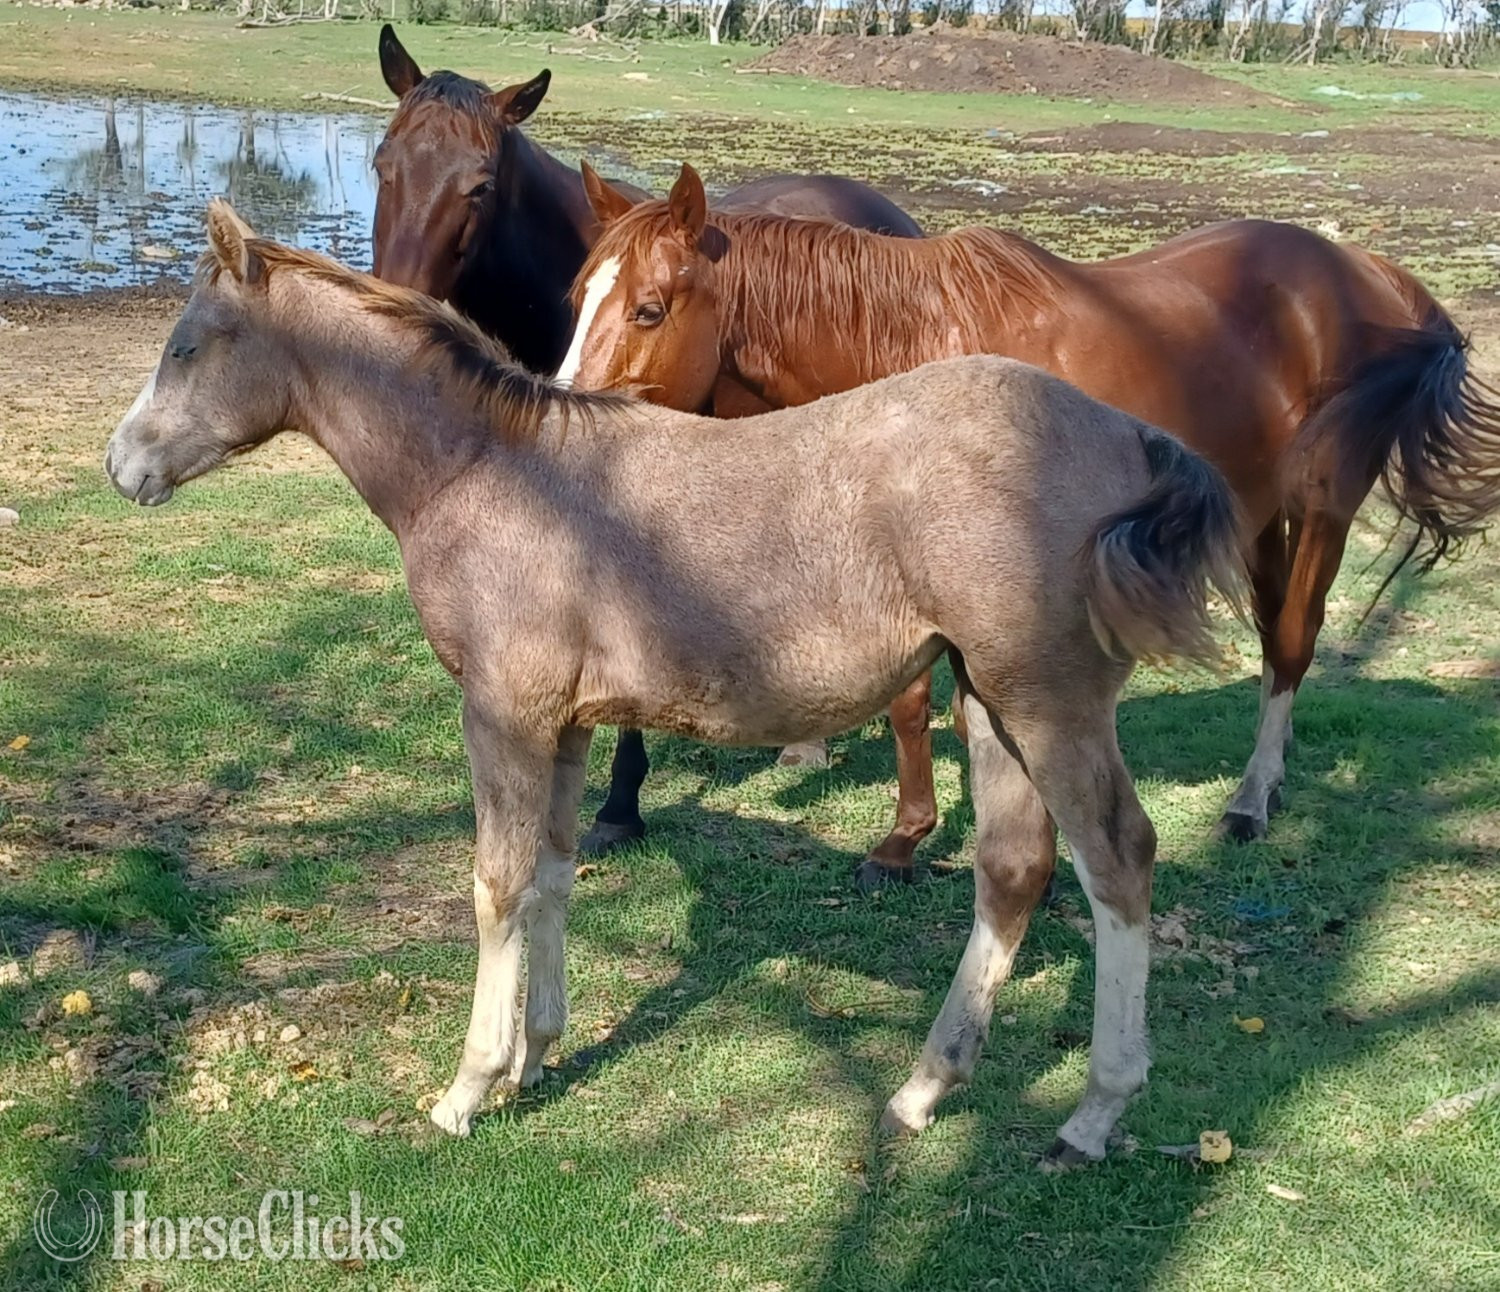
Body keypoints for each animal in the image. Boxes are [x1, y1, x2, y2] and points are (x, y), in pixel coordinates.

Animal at [105, 201, 1245, 1164]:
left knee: (1118, 859)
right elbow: (556, 871)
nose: (121, 467)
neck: (489, 471)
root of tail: (1131, 436)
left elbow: (495, 884)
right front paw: (539, 1055)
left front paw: (469, 1085)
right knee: (1012, 866)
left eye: (188, 346)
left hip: (1048, 699)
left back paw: (1092, 1114)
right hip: (988, 694)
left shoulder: (502, 712)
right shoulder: (564, 724)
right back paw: (921, 1091)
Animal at [562, 162, 1500, 888]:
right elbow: (908, 705)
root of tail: (1367, 270)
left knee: (1295, 642)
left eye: (648, 309)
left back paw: (1249, 799)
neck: (917, 349)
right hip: (1256, 513)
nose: (568, 418)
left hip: (1324, 508)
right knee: (1275, 639)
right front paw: (904, 839)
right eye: (577, 298)